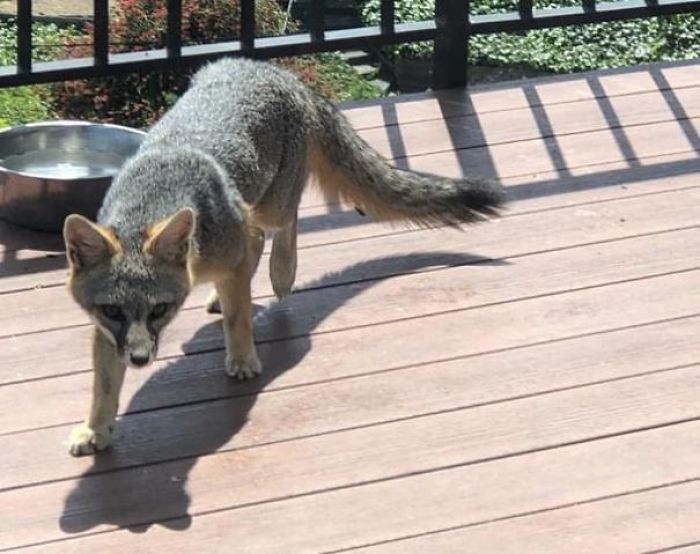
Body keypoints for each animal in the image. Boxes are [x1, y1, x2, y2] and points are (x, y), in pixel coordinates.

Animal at [63, 57, 505, 456]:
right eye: (113, 311)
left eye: (159, 309)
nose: (139, 359)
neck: (154, 196)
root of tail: (275, 70)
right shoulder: (109, 332)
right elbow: (104, 384)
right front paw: (95, 428)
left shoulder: (233, 245)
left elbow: (240, 315)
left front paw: (243, 358)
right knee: (257, 241)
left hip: (270, 206)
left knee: (283, 223)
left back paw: (282, 272)